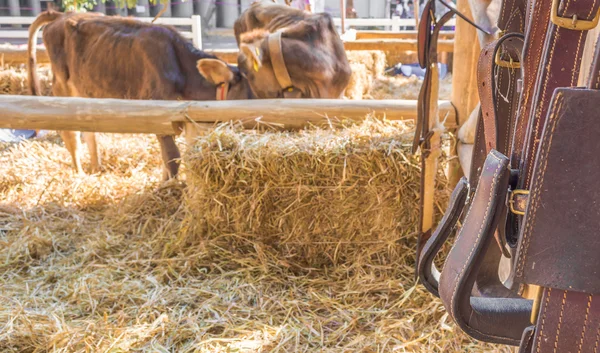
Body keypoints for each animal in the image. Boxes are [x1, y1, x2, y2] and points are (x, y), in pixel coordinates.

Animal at [27, 10, 253, 182]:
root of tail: (62, 14)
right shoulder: (162, 119)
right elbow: (172, 158)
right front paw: (169, 189)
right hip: (63, 87)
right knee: (70, 134)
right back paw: (80, 173)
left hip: (86, 93)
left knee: (88, 130)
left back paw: (96, 168)